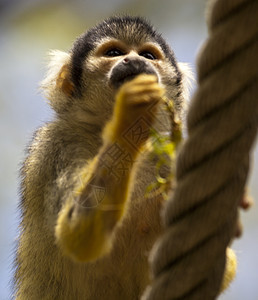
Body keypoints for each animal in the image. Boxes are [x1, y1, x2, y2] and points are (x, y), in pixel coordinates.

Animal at [14, 17, 236, 300]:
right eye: (113, 52)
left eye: (148, 55)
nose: (134, 61)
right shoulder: (57, 145)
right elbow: (77, 233)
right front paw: (131, 115)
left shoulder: (164, 152)